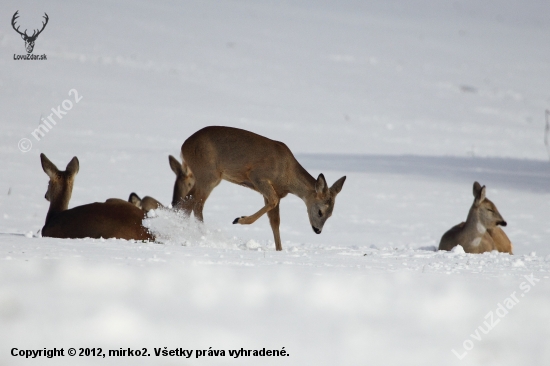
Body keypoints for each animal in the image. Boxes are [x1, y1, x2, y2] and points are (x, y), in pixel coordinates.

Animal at [181, 126, 348, 252]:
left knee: (191, 202)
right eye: (320, 211)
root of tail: (184, 146)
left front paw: (279, 250)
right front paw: (239, 219)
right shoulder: (258, 176)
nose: (318, 230)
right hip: (208, 174)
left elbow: (275, 221)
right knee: (194, 203)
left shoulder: (274, 192)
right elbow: (273, 202)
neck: (287, 175)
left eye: (331, 214)